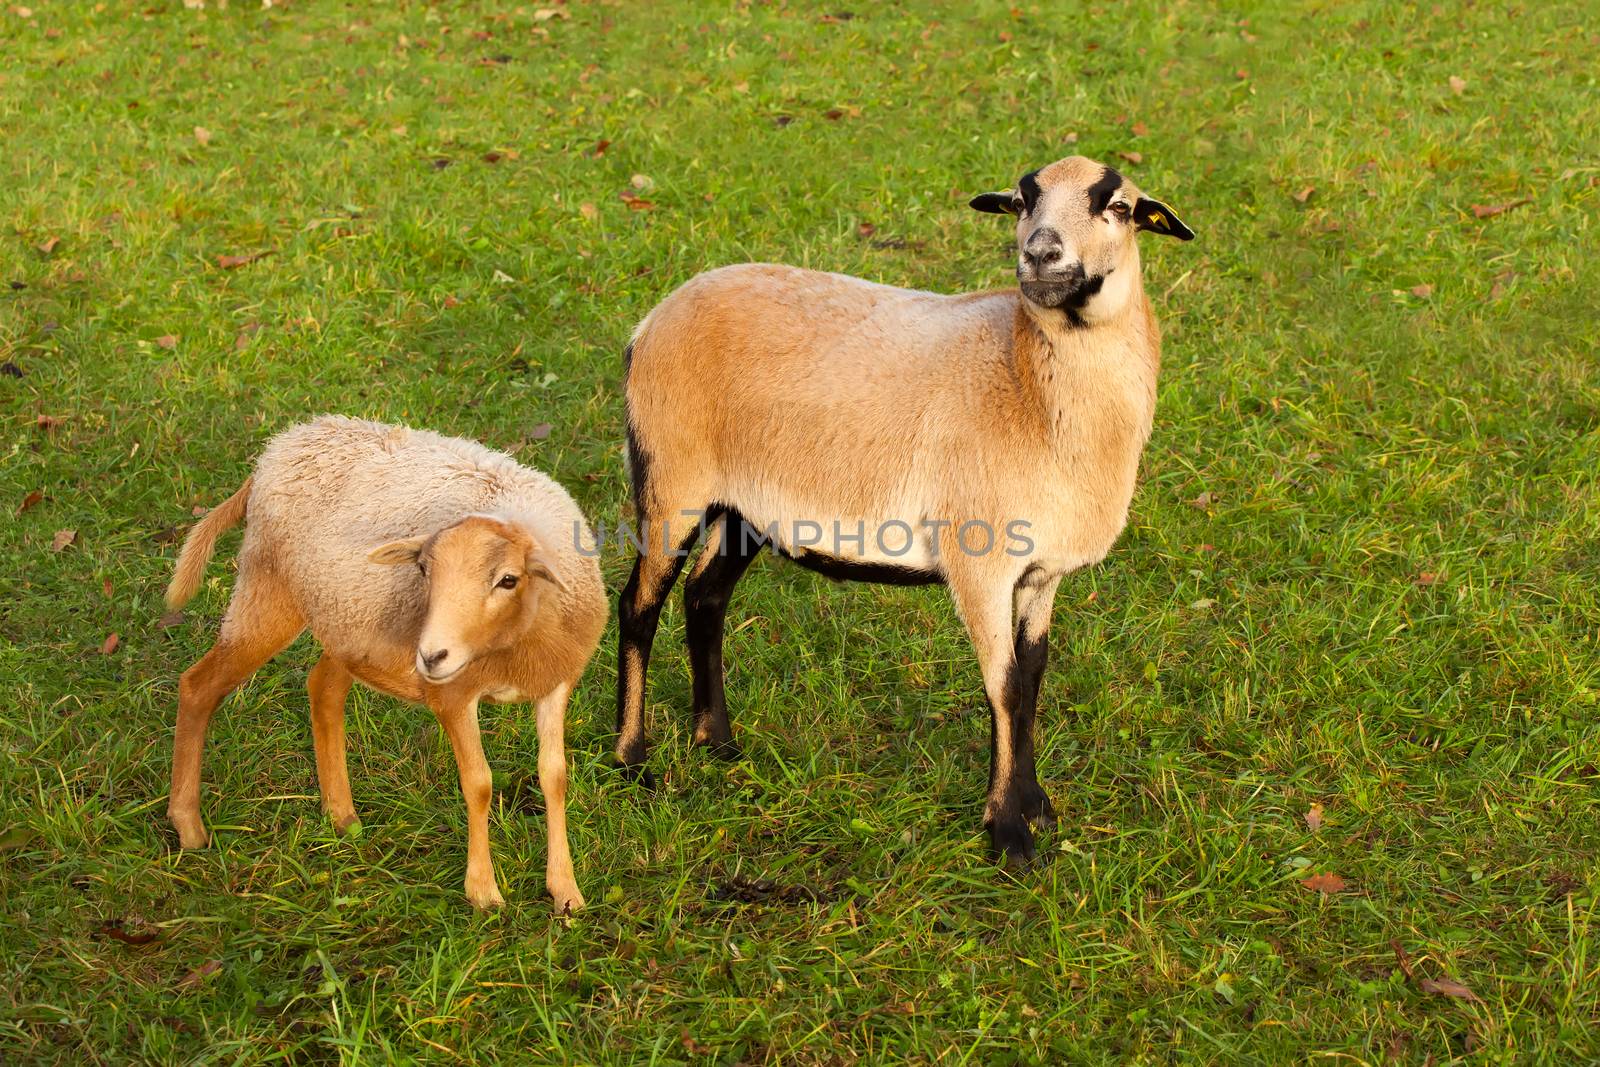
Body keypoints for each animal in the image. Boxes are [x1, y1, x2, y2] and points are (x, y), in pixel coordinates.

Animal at [165, 415, 604, 908]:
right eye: (424, 571)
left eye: (508, 580)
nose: (430, 655)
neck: (510, 646)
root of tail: (280, 446)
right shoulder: (453, 695)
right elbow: (478, 783)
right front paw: (483, 892)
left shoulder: (554, 682)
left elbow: (554, 776)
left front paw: (565, 890)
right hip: (268, 592)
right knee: (198, 686)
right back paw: (189, 826)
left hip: (349, 624)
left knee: (323, 687)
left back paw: (342, 817)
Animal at [611, 151, 1190, 870]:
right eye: (1022, 200)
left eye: (1117, 206)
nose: (1040, 254)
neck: (1025, 380)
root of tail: (650, 323)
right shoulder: (981, 562)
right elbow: (1003, 686)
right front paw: (1008, 833)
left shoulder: (1042, 572)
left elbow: (1032, 677)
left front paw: (1036, 805)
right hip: (672, 477)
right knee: (638, 606)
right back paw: (631, 760)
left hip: (746, 503)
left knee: (705, 597)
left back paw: (716, 741)